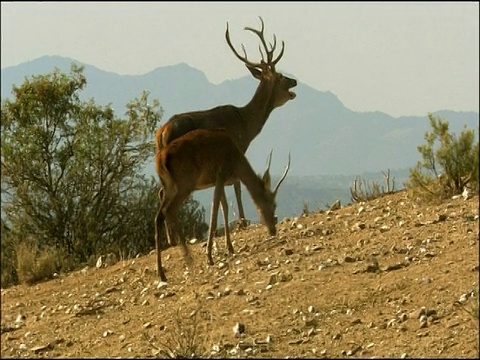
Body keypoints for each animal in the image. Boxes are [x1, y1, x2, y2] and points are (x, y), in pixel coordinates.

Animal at [155, 128, 288, 282]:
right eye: (273, 204)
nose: (273, 230)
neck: (236, 160)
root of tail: (161, 158)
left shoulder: (219, 181)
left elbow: (224, 207)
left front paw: (230, 248)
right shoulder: (220, 175)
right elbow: (215, 211)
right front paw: (209, 257)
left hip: (170, 187)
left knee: (158, 216)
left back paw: (162, 273)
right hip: (185, 184)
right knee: (169, 210)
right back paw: (189, 259)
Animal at [156, 16, 294, 233]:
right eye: (280, 76)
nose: (294, 81)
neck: (248, 125)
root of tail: (161, 133)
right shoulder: (238, 147)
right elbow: (236, 185)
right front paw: (243, 220)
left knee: (161, 194)